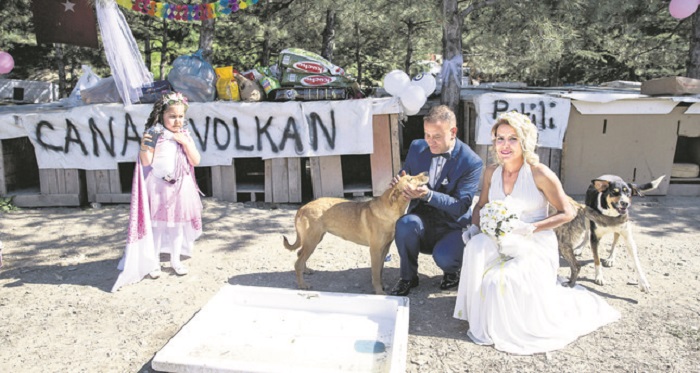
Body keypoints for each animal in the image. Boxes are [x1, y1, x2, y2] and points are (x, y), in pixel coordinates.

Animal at [282, 171, 430, 294]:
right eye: (410, 179)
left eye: (411, 175)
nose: (426, 173)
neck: (390, 210)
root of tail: (302, 208)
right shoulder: (375, 250)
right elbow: (375, 273)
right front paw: (379, 291)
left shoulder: (384, 248)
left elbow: (380, 271)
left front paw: (382, 286)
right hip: (312, 240)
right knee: (298, 262)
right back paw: (303, 285)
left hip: (315, 239)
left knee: (299, 254)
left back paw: (306, 270)